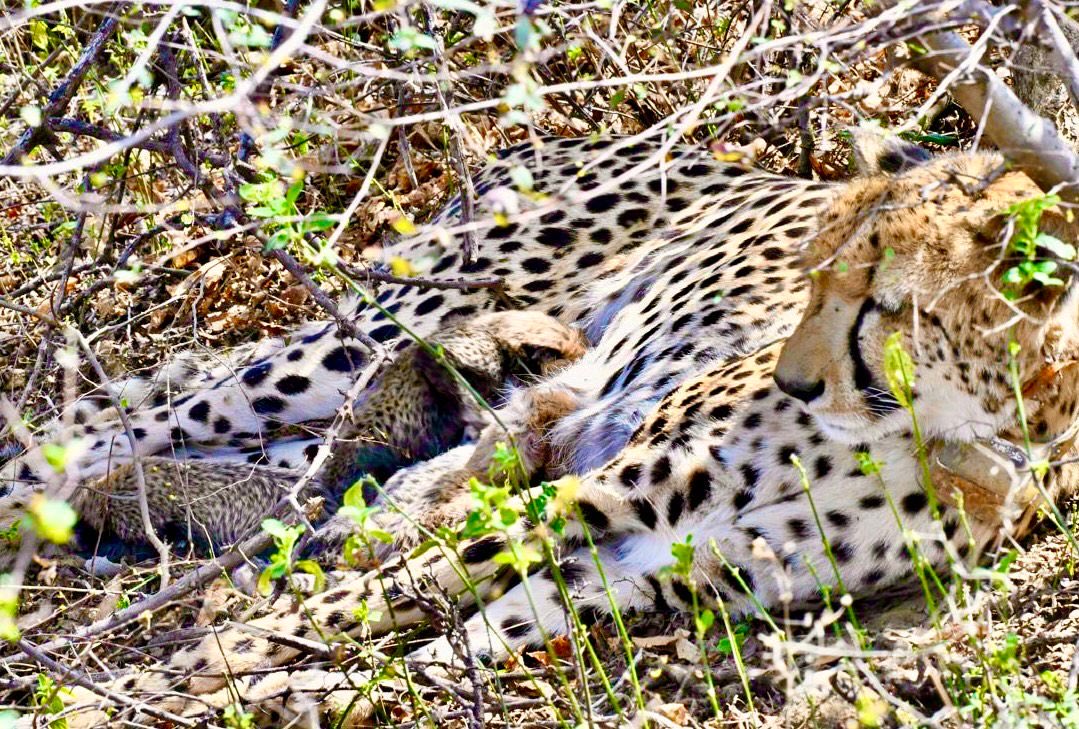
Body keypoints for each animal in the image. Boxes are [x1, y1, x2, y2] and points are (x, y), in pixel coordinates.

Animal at [11, 133, 1079, 727]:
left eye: (881, 302)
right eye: (811, 277)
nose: (794, 378)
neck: (948, 426)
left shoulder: (670, 563)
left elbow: (452, 636)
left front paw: (307, 694)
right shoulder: (601, 491)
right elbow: (362, 602)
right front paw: (169, 681)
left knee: (267, 470)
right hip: (372, 334)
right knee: (116, 424)